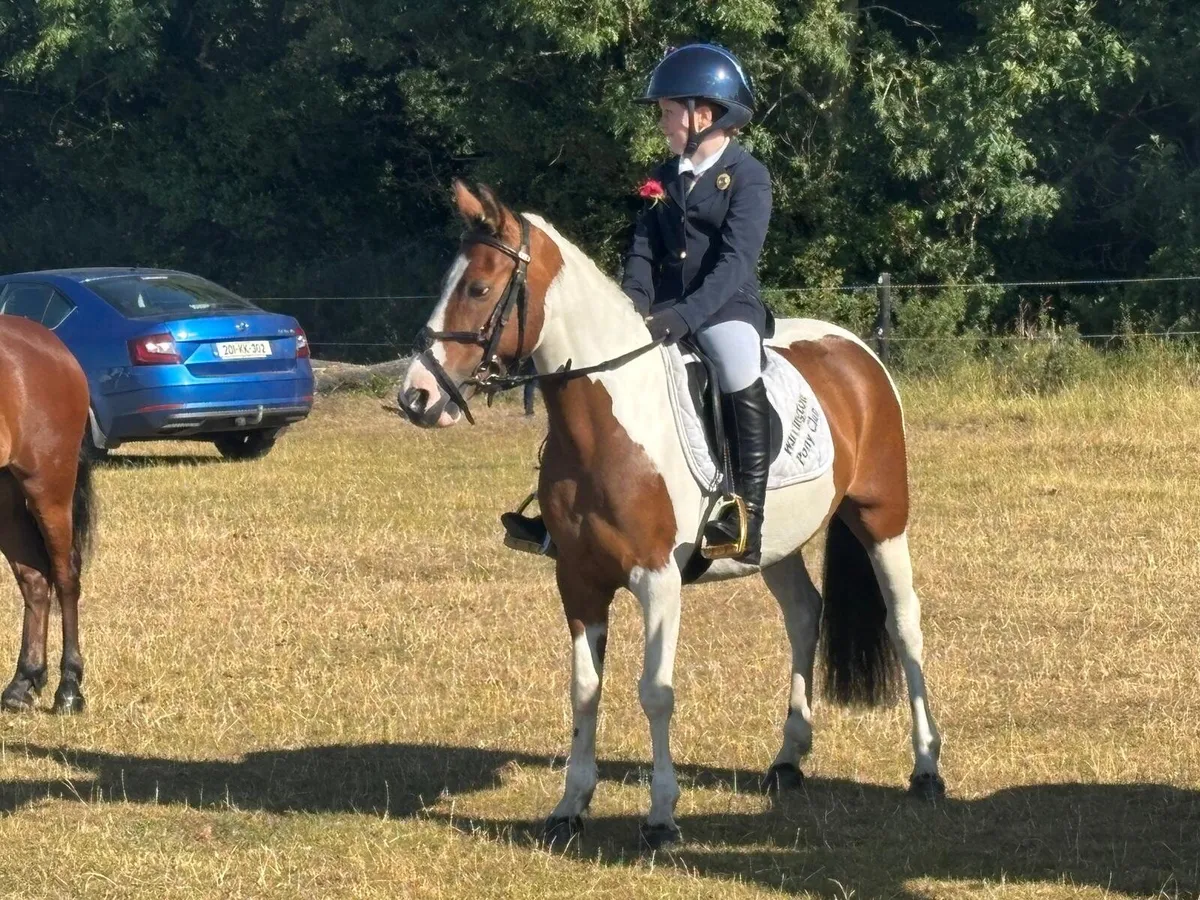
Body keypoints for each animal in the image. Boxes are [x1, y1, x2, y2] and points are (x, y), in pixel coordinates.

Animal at [397, 182, 943, 848]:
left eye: (477, 288)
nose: (416, 396)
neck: (608, 421)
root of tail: (856, 349)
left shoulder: (657, 580)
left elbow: (655, 692)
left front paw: (661, 816)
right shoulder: (577, 580)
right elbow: (584, 690)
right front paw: (569, 807)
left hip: (883, 518)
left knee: (904, 623)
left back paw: (926, 768)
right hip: (773, 543)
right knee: (803, 615)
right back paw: (788, 760)